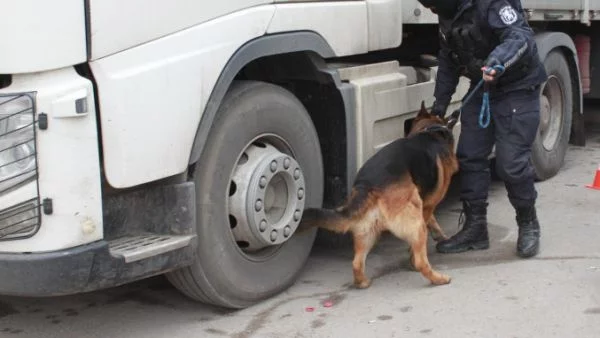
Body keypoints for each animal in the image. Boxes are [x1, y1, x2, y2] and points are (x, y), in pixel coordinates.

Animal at [300, 101, 460, 290]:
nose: (456, 113)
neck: (430, 130)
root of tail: (368, 185)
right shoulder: (427, 205)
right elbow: (429, 222)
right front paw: (414, 255)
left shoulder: (425, 205)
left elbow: (433, 221)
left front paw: (439, 235)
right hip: (415, 222)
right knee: (422, 262)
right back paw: (438, 278)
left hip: (368, 232)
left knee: (356, 263)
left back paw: (362, 282)